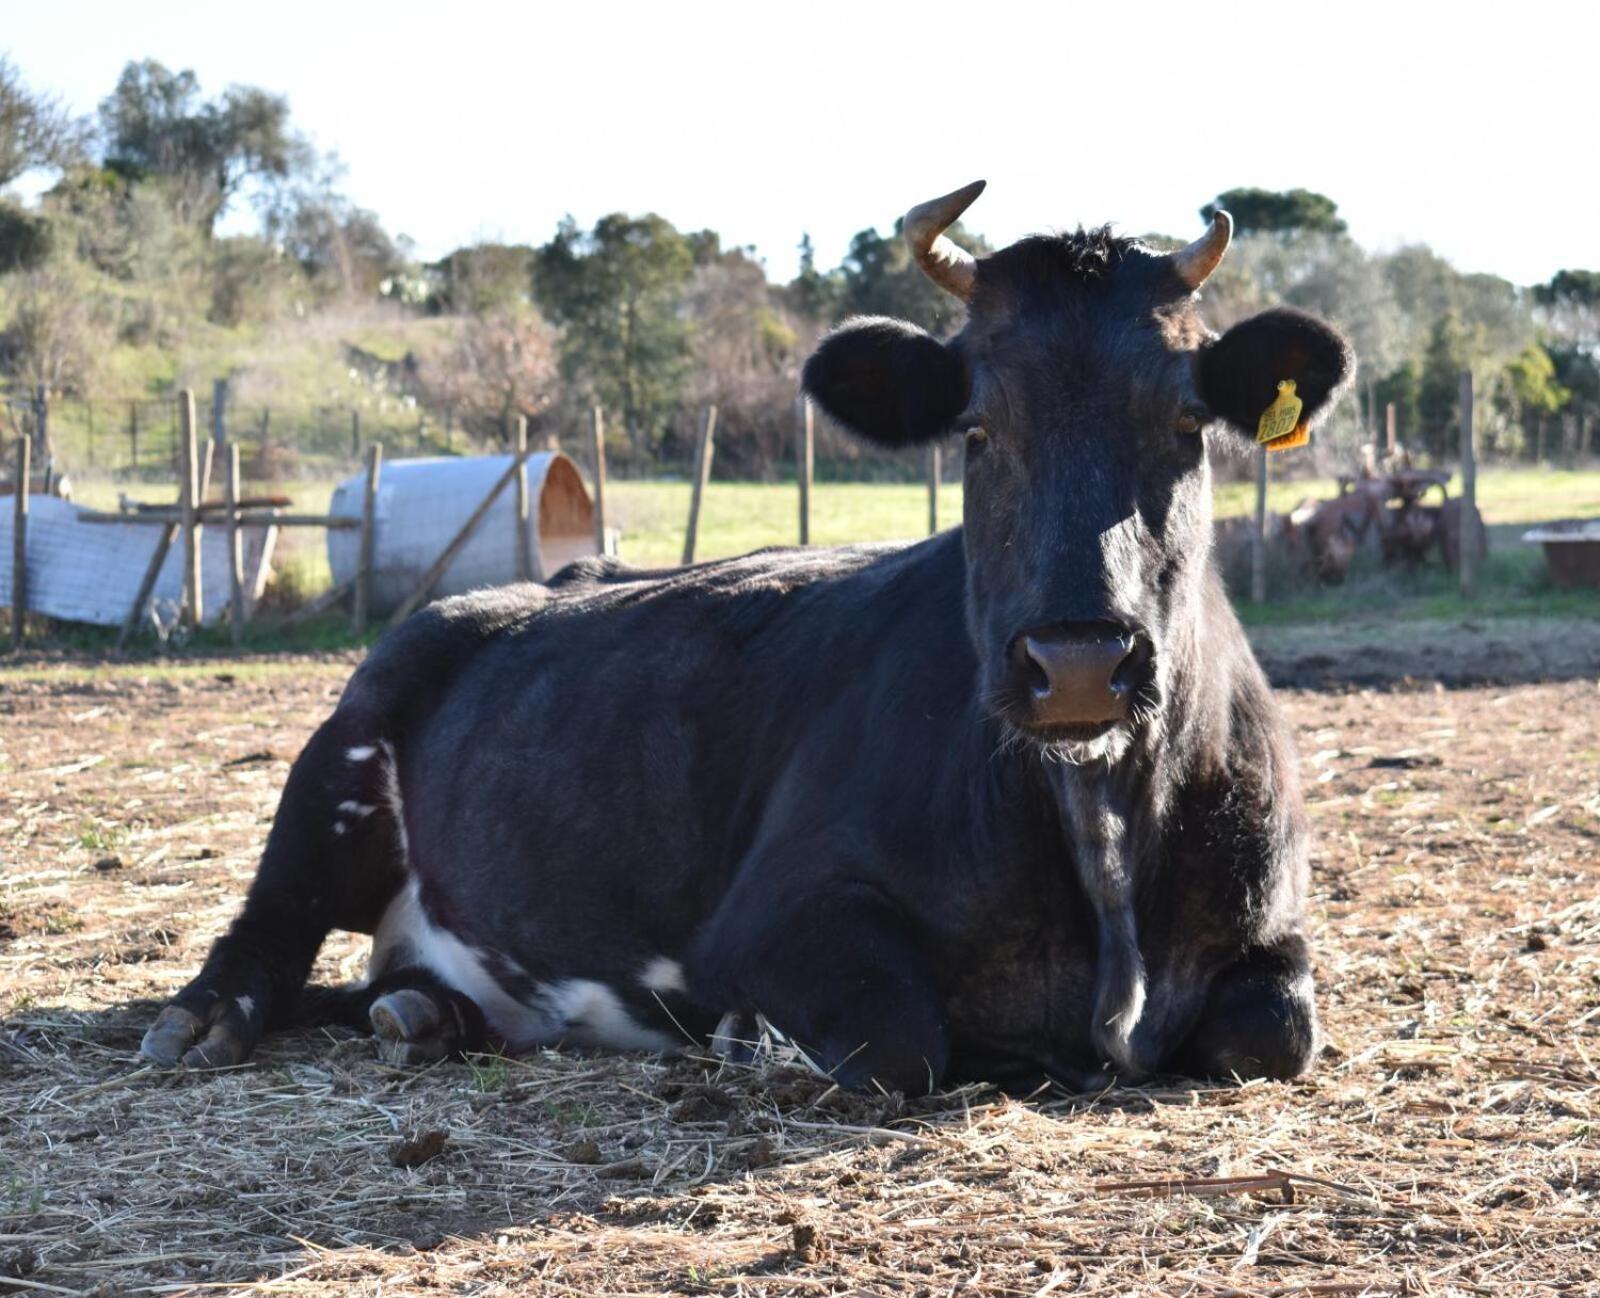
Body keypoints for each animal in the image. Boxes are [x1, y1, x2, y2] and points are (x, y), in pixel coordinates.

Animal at [144, 182, 1356, 1088]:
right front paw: (752, 1037)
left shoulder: (1270, 921)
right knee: (267, 928)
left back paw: (426, 1014)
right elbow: (903, 1038)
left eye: (1186, 422)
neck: (1100, 836)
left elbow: (1275, 1030)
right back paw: (203, 1019)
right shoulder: (774, 913)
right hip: (339, 754)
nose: (1077, 664)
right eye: (975, 427)